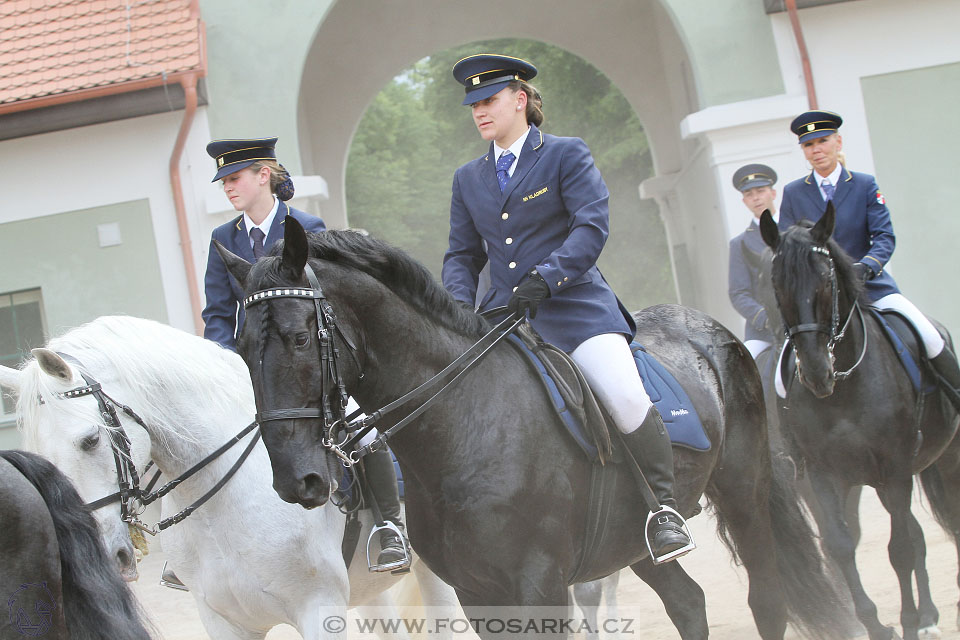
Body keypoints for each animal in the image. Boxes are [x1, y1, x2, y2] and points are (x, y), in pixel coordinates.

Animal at [216, 221, 848, 640]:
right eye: (240, 347)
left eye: (301, 338)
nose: (296, 480)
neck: (463, 422)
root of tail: (709, 329)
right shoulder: (477, 593)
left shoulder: (539, 585)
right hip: (632, 536)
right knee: (689, 602)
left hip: (744, 495)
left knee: (767, 599)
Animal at [756, 206, 960, 640]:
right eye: (777, 283)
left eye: (826, 280)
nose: (816, 372)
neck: (844, 388)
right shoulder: (822, 475)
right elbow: (840, 545)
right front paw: (876, 624)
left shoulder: (895, 469)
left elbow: (900, 549)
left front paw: (907, 621)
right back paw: (928, 614)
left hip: (945, 461)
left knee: (943, 521)